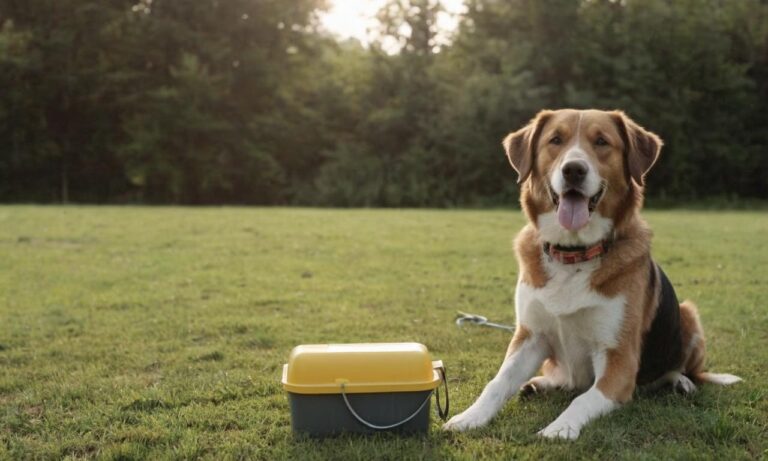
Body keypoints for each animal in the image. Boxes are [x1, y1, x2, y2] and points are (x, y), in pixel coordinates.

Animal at [440, 109, 740, 440]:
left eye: (601, 142)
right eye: (555, 140)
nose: (573, 170)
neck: (573, 254)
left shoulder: (617, 360)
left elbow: (583, 399)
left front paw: (559, 428)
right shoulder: (530, 336)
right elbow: (497, 383)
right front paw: (470, 417)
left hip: (689, 316)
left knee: (684, 370)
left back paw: (681, 382)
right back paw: (539, 384)